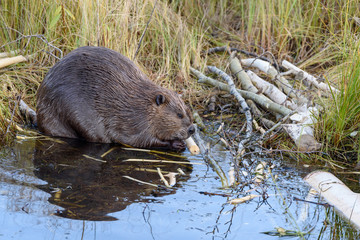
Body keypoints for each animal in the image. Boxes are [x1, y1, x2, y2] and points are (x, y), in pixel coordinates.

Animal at [36, 46, 194, 151]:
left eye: (188, 111)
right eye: (179, 115)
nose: (192, 129)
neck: (143, 104)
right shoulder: (134, 122)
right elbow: (141, 140)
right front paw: (176, 144)